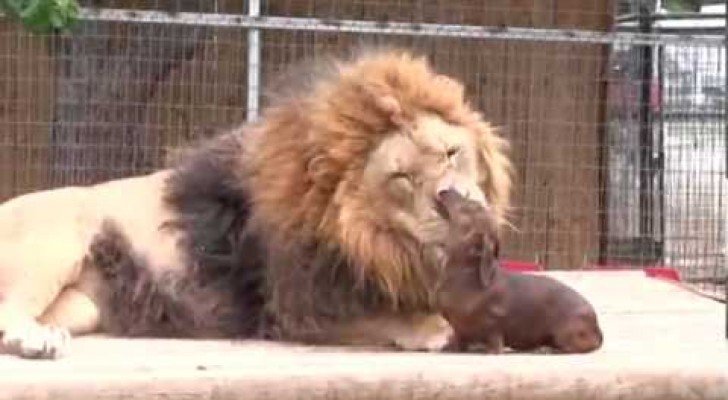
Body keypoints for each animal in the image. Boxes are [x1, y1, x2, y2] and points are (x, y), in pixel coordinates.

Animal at [0, 48, 512, 359]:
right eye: (402, 177)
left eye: (451, 153)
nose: (455, 200)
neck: (381, 243)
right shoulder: (295, 307)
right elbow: (391, 318)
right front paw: (435, 327)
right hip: (55, 240)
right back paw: (34, 340)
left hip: (82, 304)